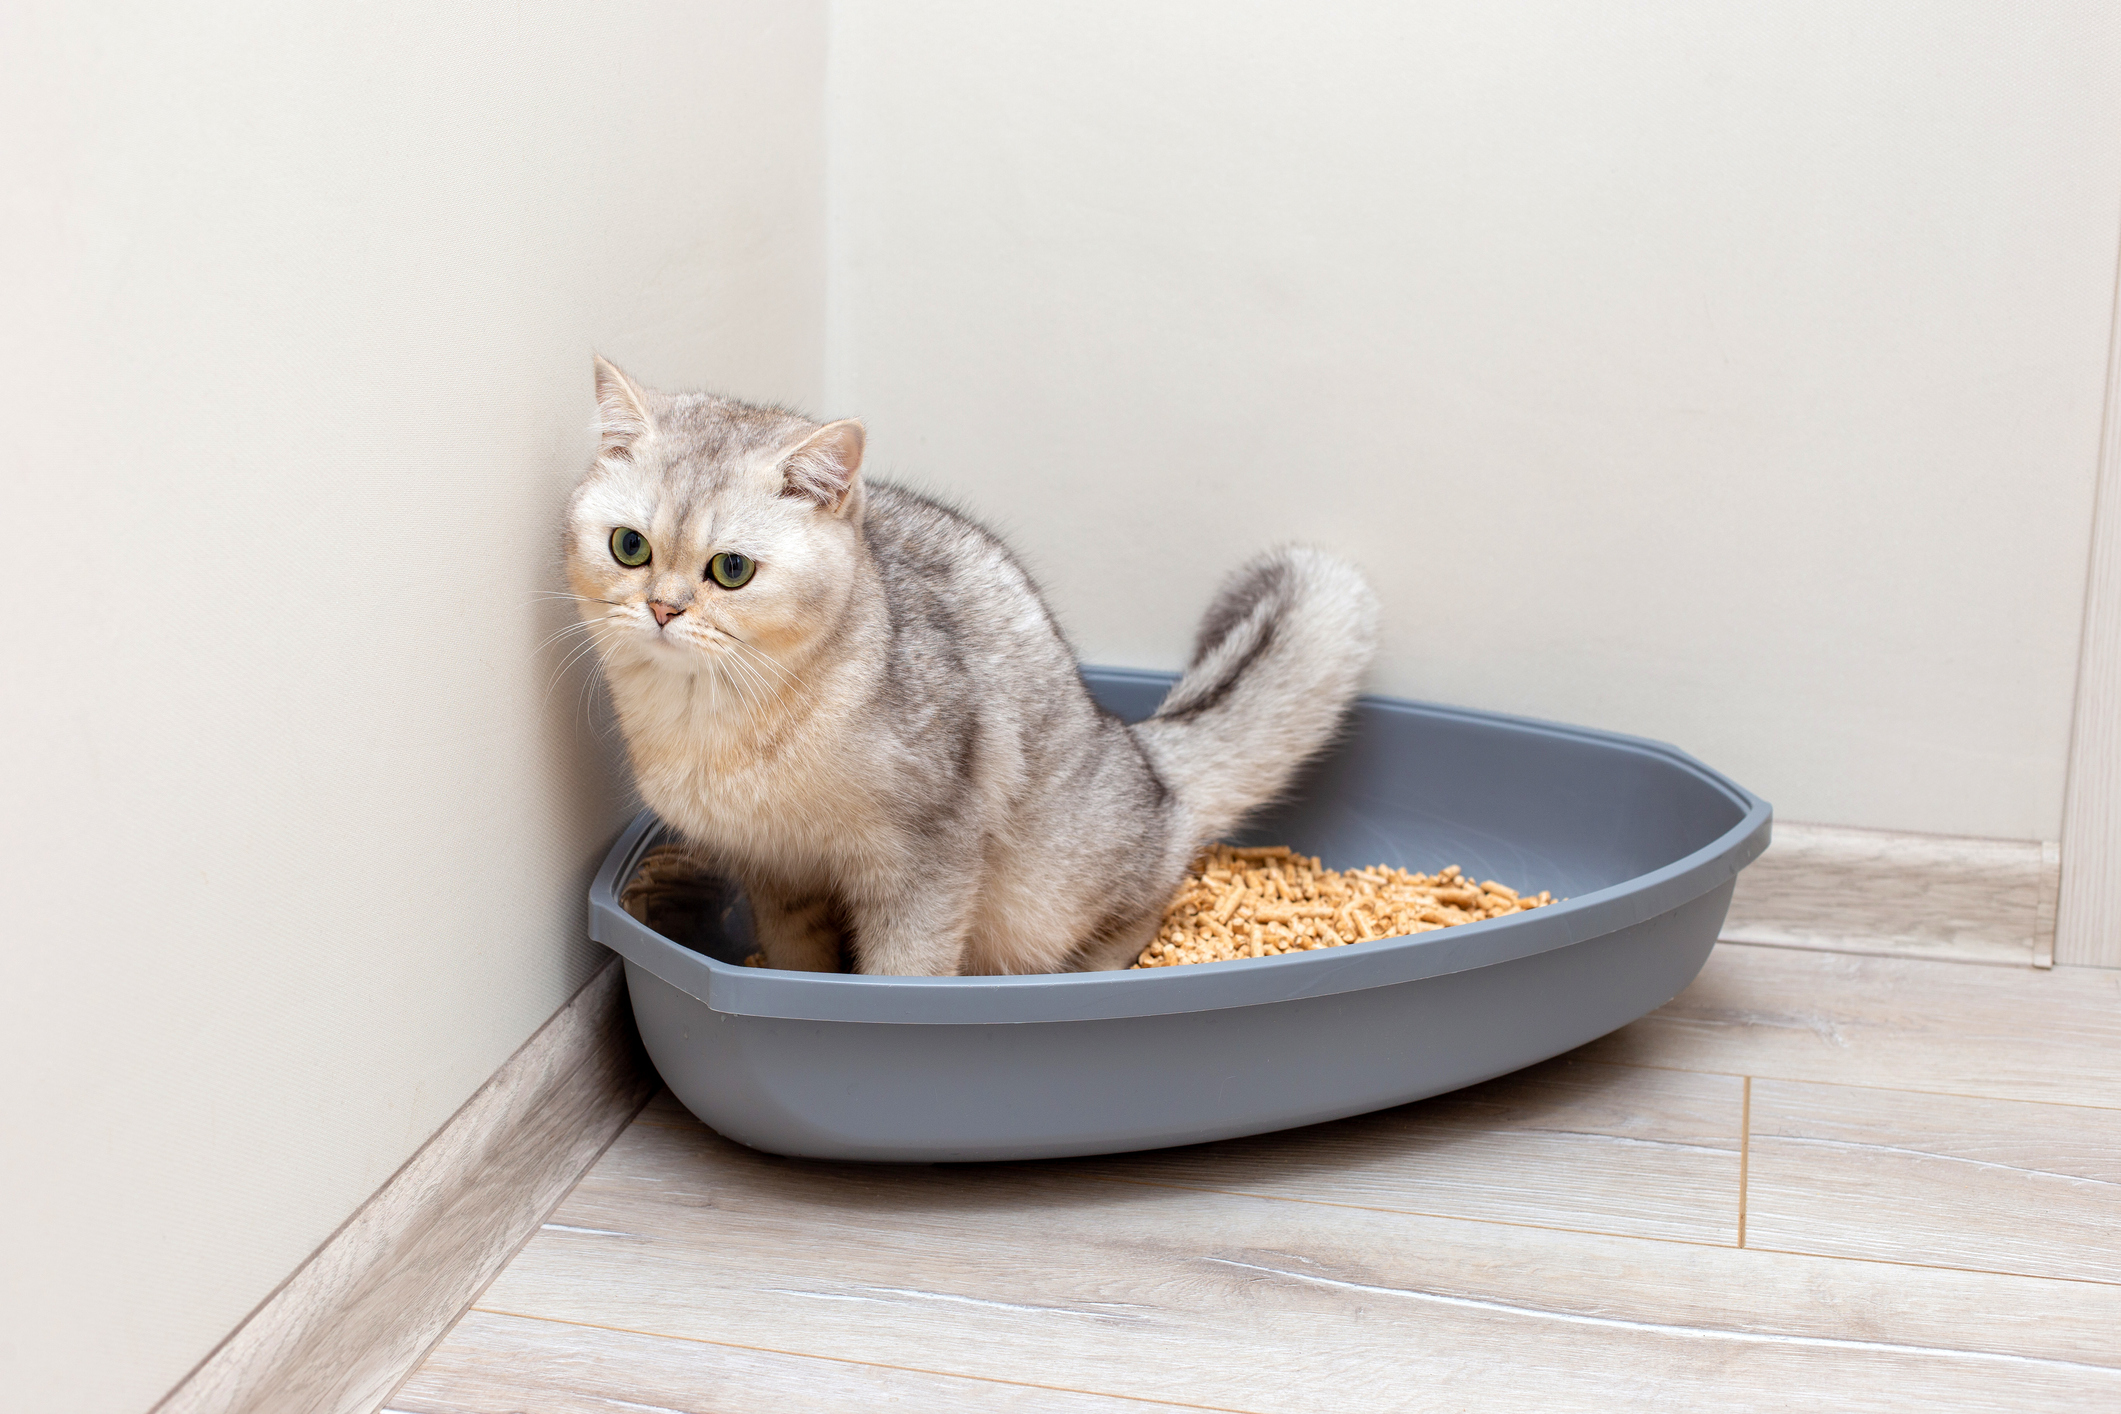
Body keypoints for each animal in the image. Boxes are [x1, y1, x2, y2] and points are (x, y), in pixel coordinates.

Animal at [572, 356, 1382, 975]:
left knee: (1153, 889)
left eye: (731, 569)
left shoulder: (927, 859)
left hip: (1048, 892)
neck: (713, 725)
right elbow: (801, 962)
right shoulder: (777, 876)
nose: (663, 609)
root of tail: (1140, 751)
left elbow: (904, 969)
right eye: (630, 547)